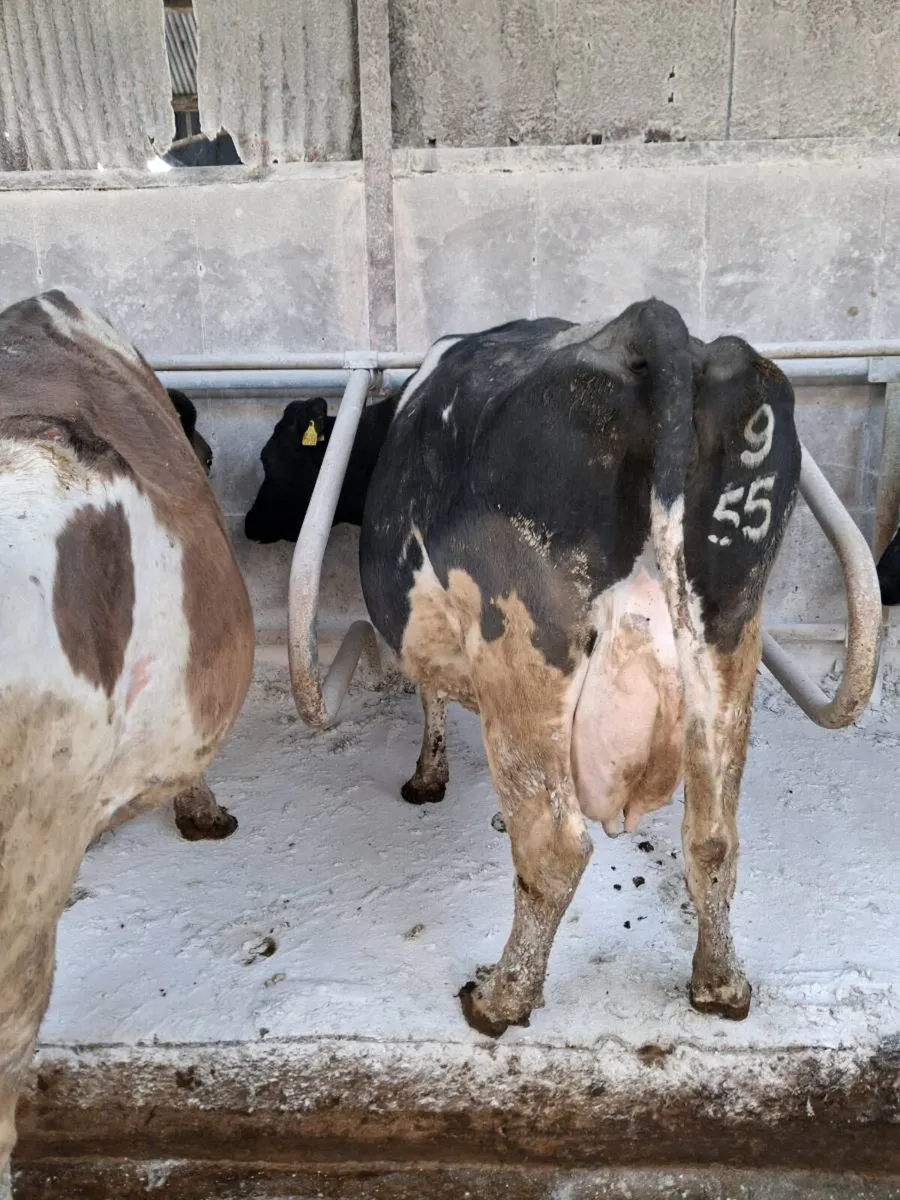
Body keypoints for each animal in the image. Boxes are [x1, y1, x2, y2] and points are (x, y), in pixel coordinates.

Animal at [357, 300, 801, 1037]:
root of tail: (643, 328)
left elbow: (431, 696)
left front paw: (426, 777)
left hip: (522, 647)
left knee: (556, 847)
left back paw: (500, 997)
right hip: (731, 635)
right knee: (713, 839)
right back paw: (720, 985)